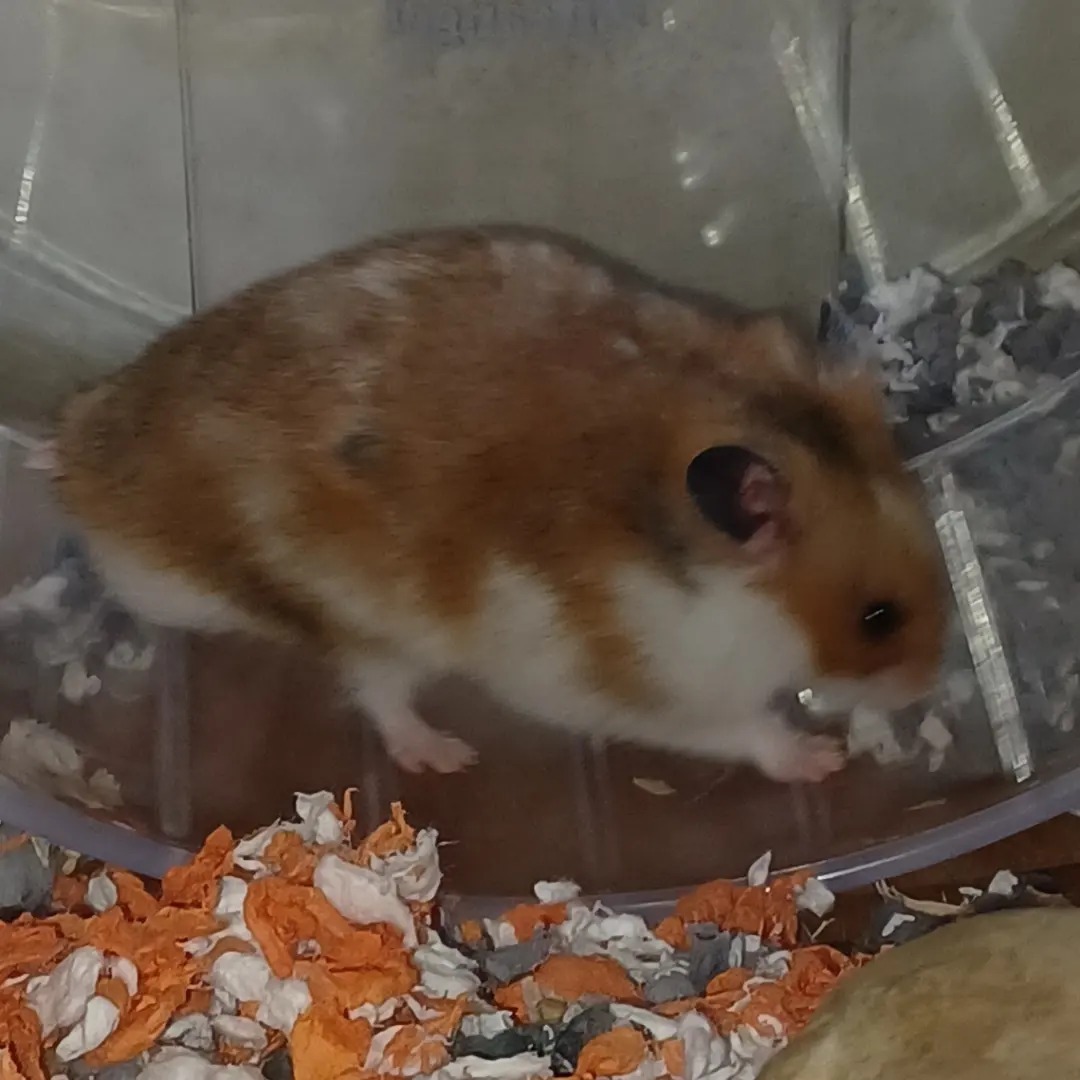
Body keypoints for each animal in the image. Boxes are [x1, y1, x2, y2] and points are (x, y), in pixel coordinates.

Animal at [52, 226, 947, 779]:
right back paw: (445, 756)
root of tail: (78, 461)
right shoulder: (641, 687)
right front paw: (822, 760)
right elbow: (744, 727)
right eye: (877, 619)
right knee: (378, 692)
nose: (927, 687)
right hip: (364, 620)